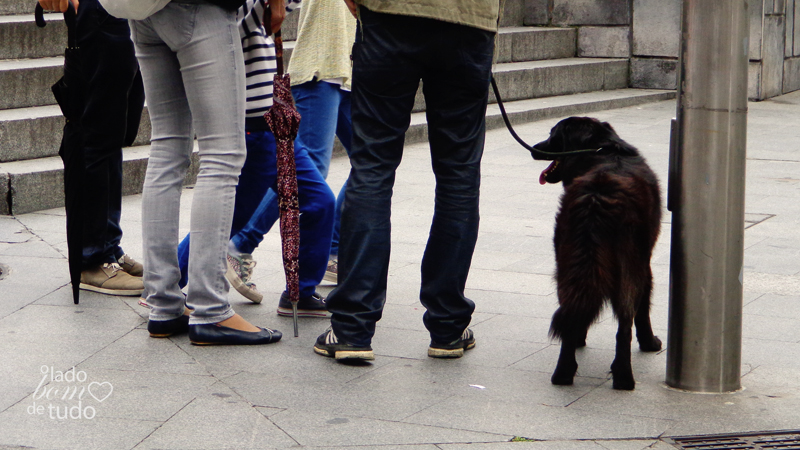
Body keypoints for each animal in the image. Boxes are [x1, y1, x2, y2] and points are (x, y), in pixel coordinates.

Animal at [532, 117, 664, 390]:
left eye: (552, 135)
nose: (534, 149)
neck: (602, 150)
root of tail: (597, 195)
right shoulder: (645, 264)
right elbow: (643, 310)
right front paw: (649, 343)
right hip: (630, 269)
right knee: (625, 325)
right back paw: (624, 377)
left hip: (566, 263)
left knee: (570, 313)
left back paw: (563, 373)